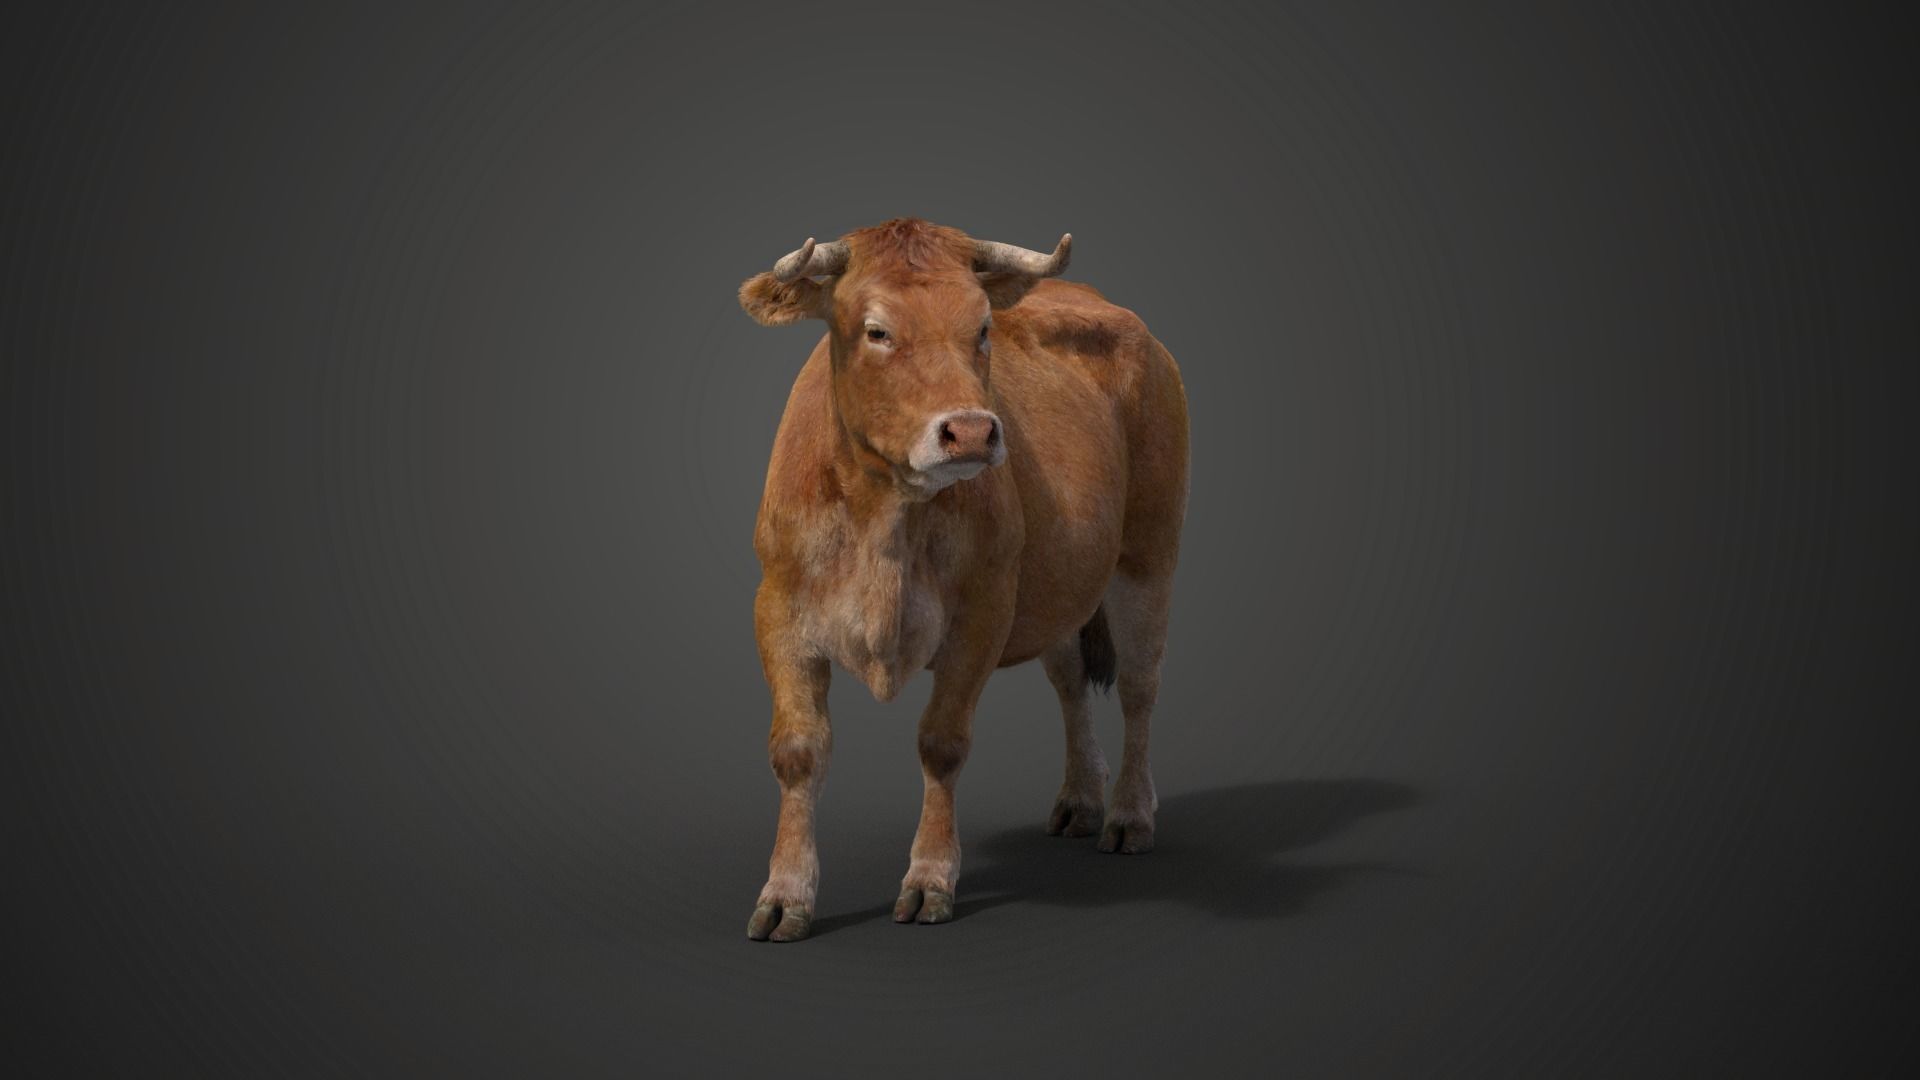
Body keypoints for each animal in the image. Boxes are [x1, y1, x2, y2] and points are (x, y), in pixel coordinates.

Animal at [736, 217, 1189, 941]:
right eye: (876, 330)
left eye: (981, 328)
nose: (972, 431)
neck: (884, 522)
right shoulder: (778, 609)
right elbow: (798, 751)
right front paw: (786, 895)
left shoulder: (982, 613)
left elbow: (942, 743)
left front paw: (929, 880)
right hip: (1057, 584)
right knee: (1069, 682)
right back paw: (1079, 801)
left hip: (1149, 553)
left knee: (1140, 687)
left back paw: (1128, 816)